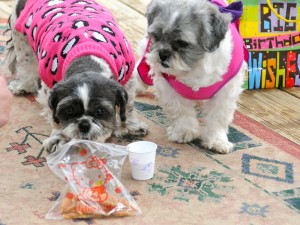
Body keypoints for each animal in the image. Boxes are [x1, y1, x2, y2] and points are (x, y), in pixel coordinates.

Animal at [5, 0, 148, 153]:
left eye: (100, 111)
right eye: (69, 111)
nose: (84, 124)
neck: (87, 57)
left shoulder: (128, 77)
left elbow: (128, 105)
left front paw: (128, 125)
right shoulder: (50, 88)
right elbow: (55, 117)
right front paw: (59, 138)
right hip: (21, 39)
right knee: (26, 64)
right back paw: (22, 86)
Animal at [135, 0, 247, 153]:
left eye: (182, 43)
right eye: (156, 36)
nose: (163, 53)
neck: (193, 67)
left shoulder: (226, 91)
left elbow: (218, 117)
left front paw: (217, 140)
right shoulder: (168, 87)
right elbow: (181, 111)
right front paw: (184, 131)